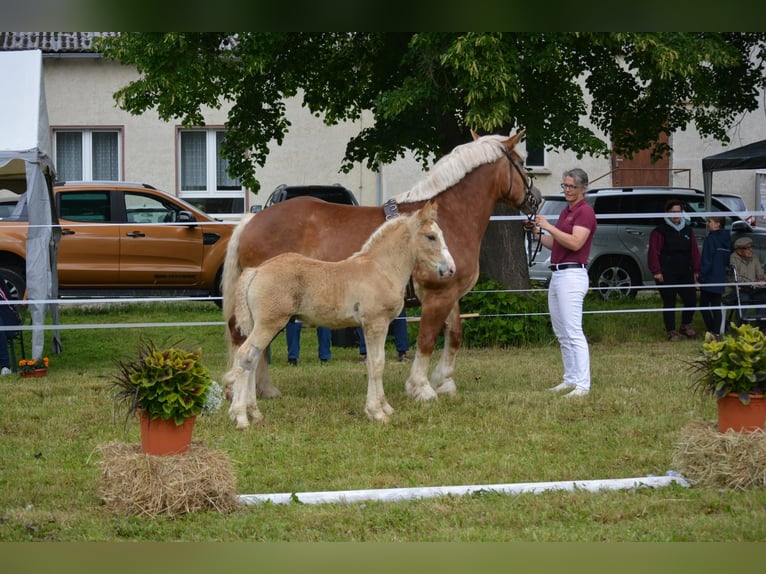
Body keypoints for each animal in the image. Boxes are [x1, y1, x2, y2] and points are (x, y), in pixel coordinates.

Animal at [222, 131, 540, 405]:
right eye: (522, 162)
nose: (536, 198)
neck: (450, 217)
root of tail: (253, 220)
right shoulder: (437, 295)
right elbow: (427, 340)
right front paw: (421, 387)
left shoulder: (450, 293)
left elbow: (455, 335)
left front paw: (444, 381)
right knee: (250, 342)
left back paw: (263, 389)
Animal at [225, 201, 455, 428]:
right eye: (431, 236)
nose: (451, 269)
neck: (381, 268)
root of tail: (256, 271)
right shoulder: (376, 323)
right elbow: (377, 364)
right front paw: (376, 412)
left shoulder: (376, 325)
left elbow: (375, 363)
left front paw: (385, 407)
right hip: (269, 324)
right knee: (245, 356)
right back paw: (241, 417)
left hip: (261, 325)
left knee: (253, 361)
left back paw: (254, 413)